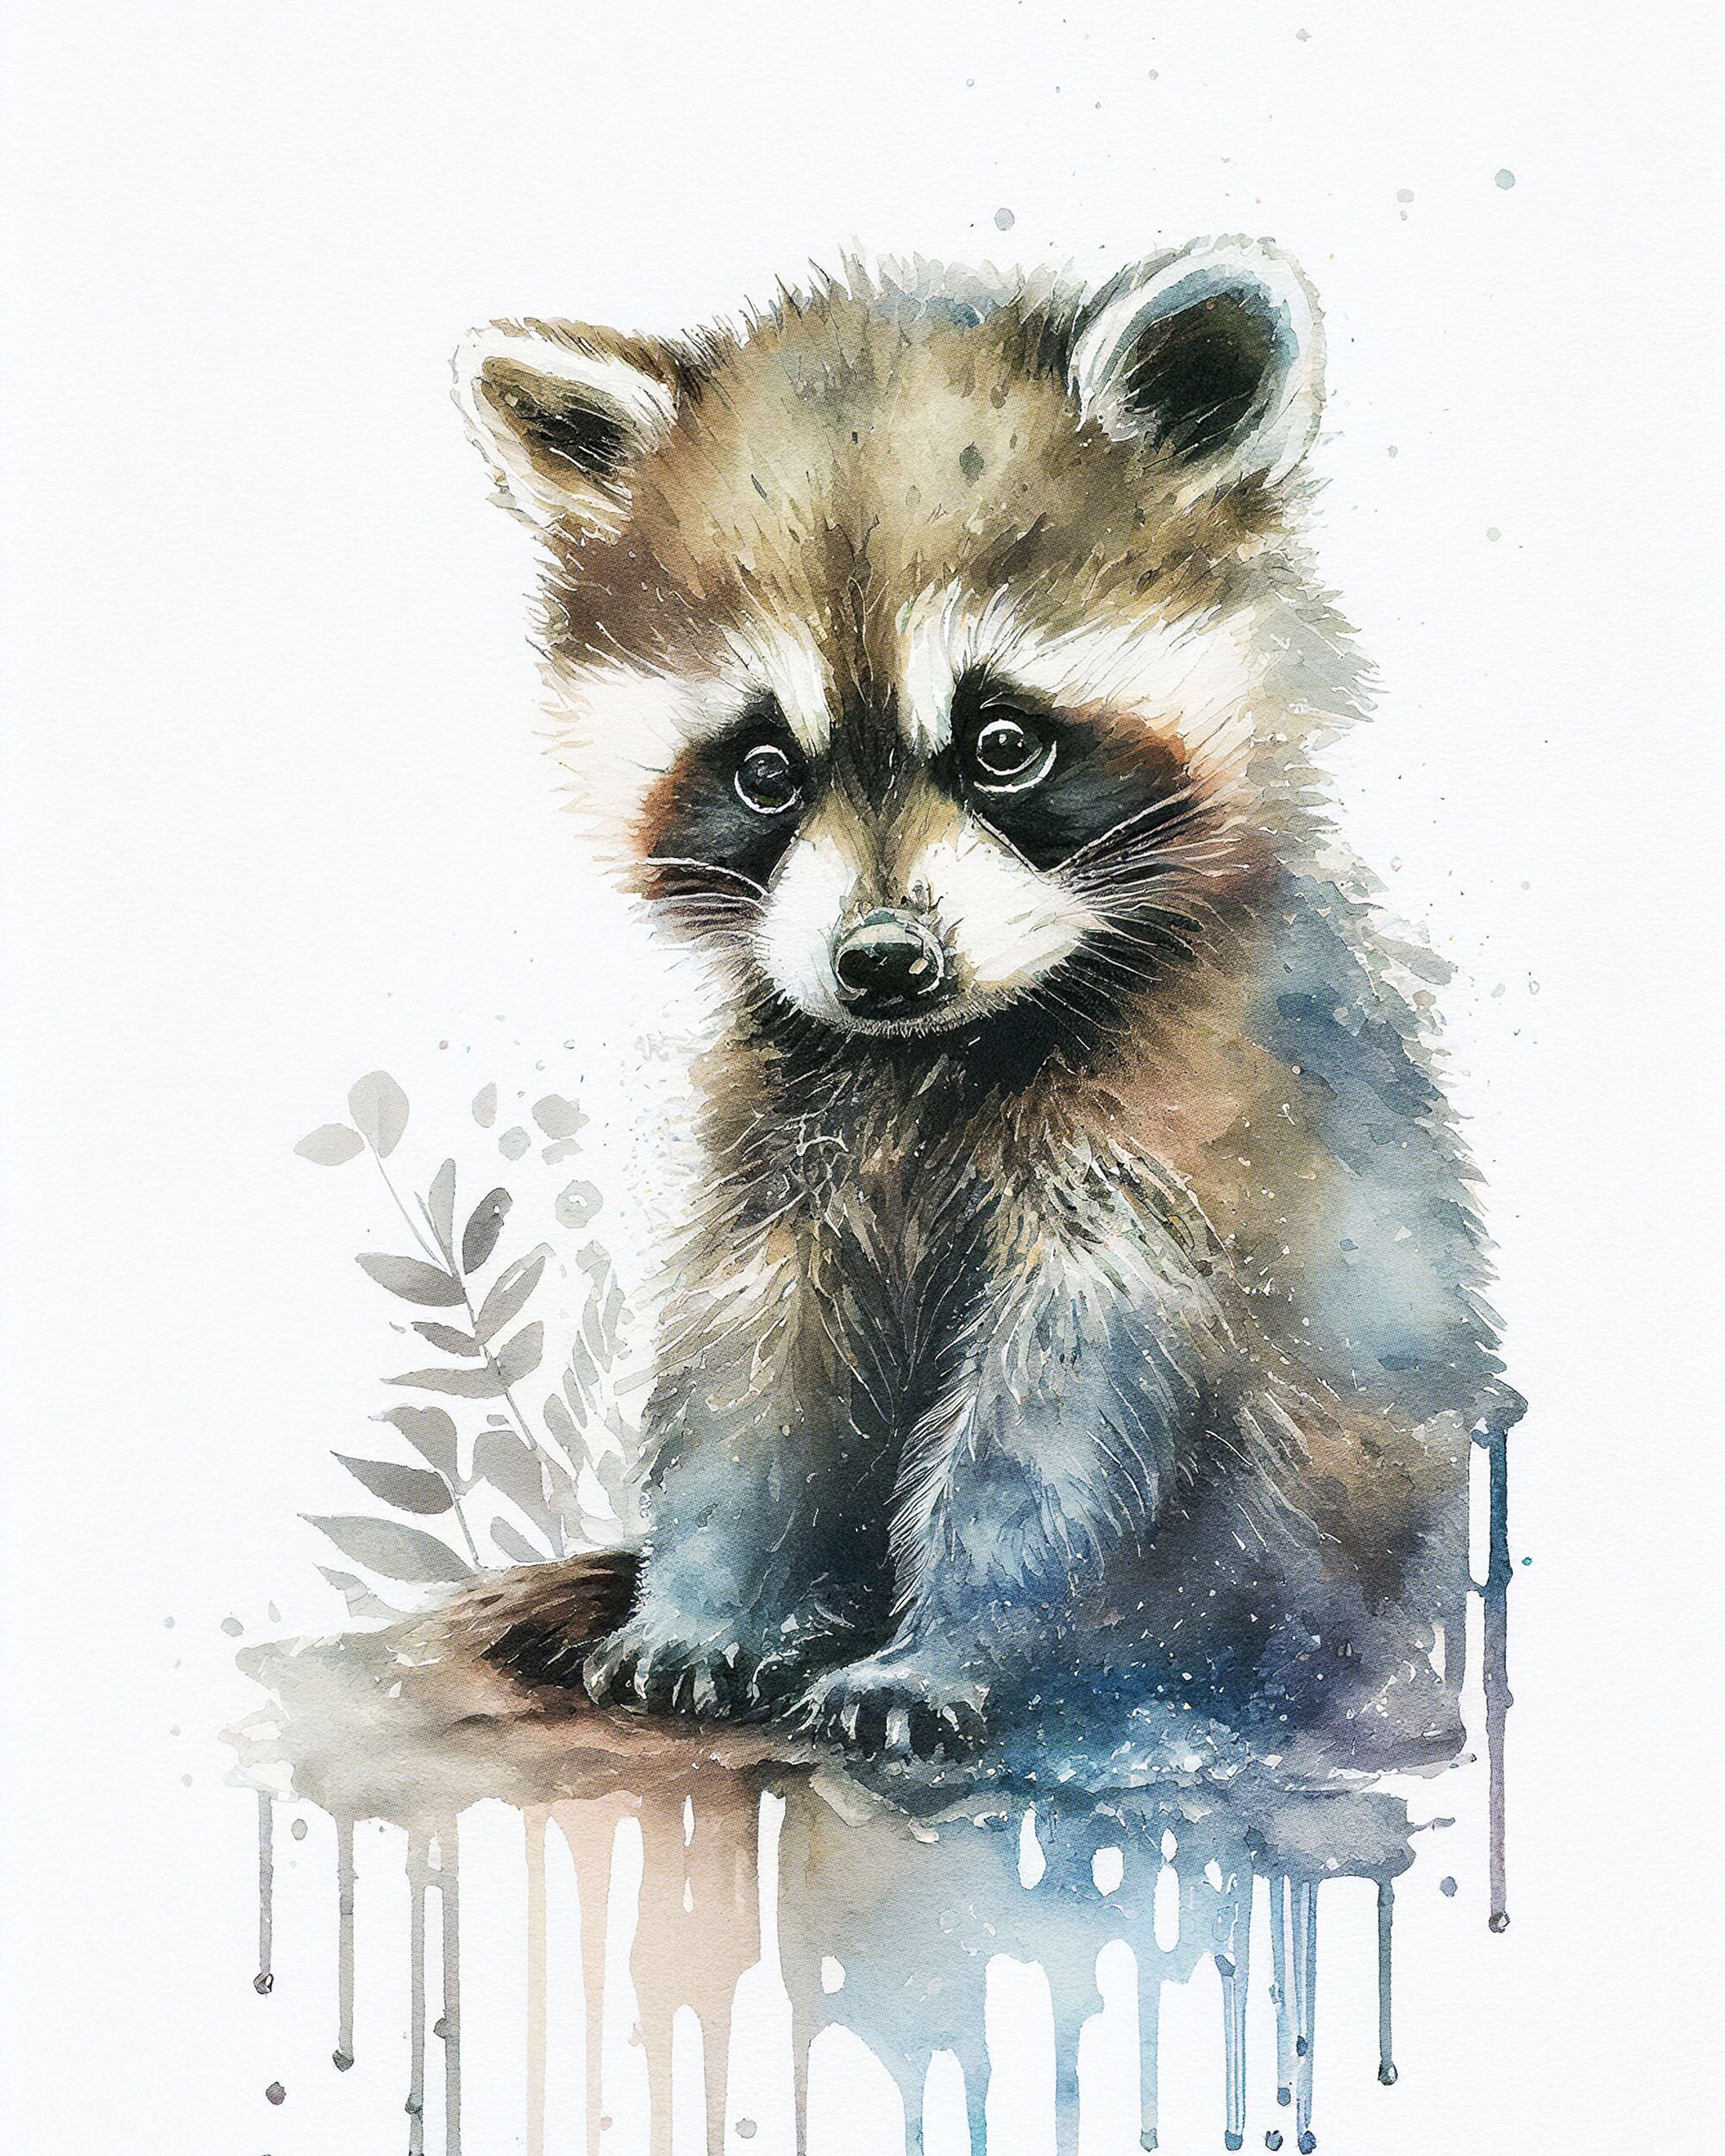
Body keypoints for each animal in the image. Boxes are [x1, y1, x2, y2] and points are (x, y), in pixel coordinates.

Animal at [453, 240, 1514, 1762]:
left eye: (1005, 742)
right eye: (765, 770)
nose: (883, 962)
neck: (935, 1053)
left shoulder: (1179, 1132)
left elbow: (1060, 1413)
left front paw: (952, 1639)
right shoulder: (792, 1129)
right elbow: (758, 1368)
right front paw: (711, 1595)